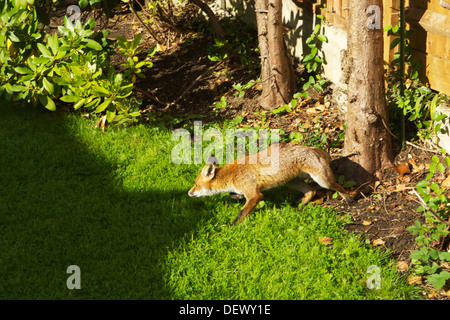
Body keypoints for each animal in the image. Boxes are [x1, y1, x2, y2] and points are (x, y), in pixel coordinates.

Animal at [188, 142, 354, 225]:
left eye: (196, 184)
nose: (189, 193)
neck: (232, 175)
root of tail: (316, 149)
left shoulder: (255, 195)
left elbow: (242, 212)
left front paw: (233, 225)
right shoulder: (247, 190)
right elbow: (234, 195)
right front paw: (236, 196)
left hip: (323, 181)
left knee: (338, 187)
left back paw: (349, 199)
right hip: (291, 183)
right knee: (311, 191)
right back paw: (299, 205)